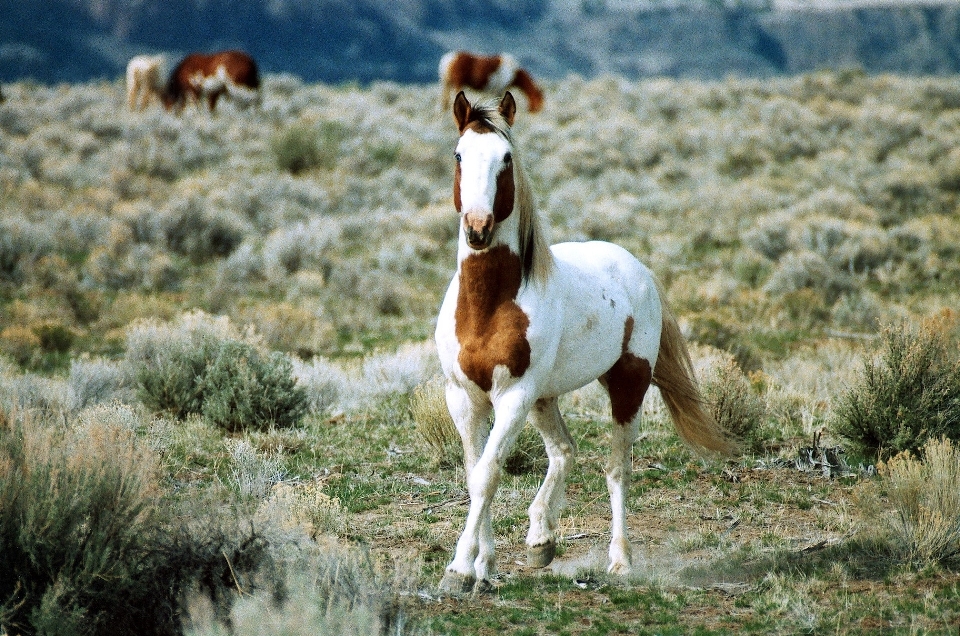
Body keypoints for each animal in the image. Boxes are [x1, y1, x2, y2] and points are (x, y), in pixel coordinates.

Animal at [436, 92, 736, 592]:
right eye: (460, 155)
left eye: (506, 158)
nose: (478, 229)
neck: (489, 306)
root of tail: (638, 269)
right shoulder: (465, 398)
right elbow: (476, 474)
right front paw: (485, 565)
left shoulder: (513, 397)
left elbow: (487, 476)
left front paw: (459, 569)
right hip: (545, 399)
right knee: (563, 451)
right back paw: (541, 538)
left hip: (626, 386)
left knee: (616, 469)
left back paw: (619, 561)